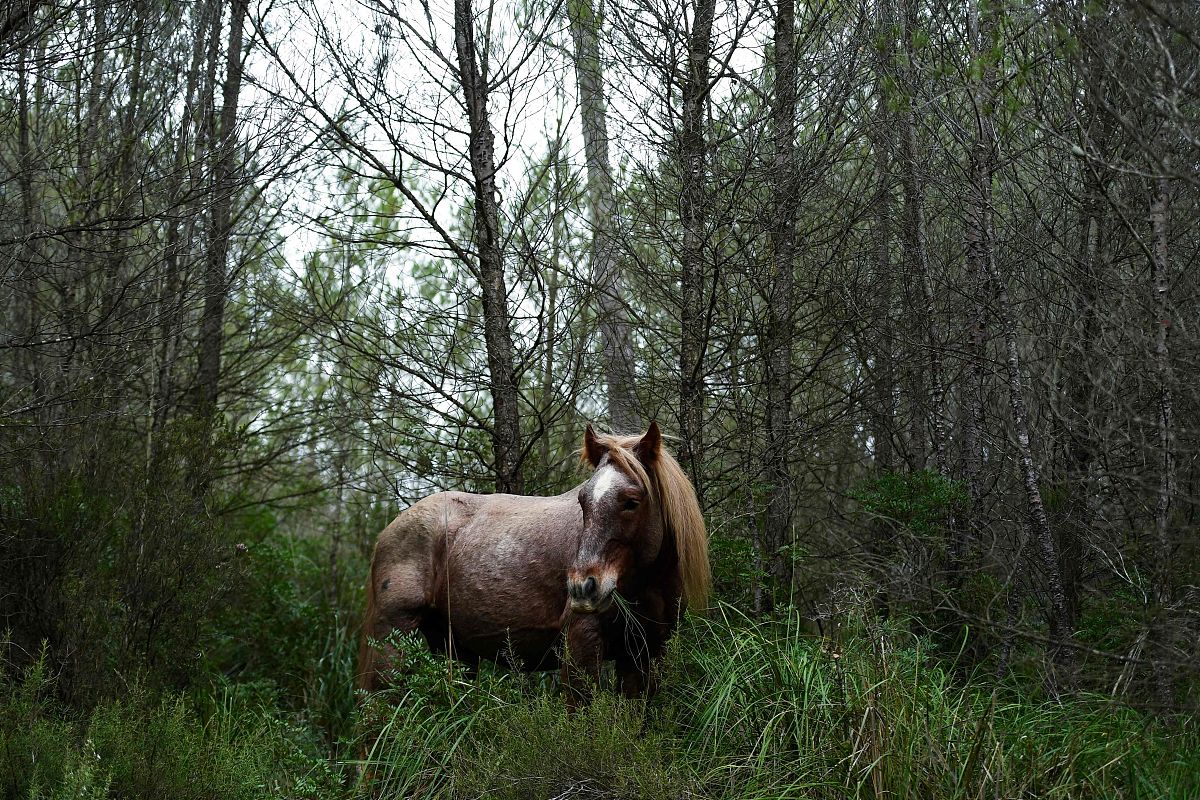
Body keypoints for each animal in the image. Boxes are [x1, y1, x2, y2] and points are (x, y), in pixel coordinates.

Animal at [356, 422, 709, 699]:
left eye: (632, 502)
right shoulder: (581, 648)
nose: (583, 589)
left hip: (453, 650)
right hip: (392, 644)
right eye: (583, 500)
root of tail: (387, 532)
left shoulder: (641, 656)